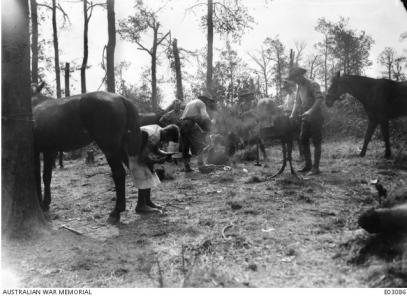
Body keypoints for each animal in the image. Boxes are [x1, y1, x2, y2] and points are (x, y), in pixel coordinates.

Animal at [31, 84, 142, 223]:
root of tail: (120, 98)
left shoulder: (40, 151)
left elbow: (38, 177)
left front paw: (43, 204)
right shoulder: (49, 151)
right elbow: (46, 177)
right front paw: (46, 202)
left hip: (110, 147)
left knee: (119, 173)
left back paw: (116, 212)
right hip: (121, 147)